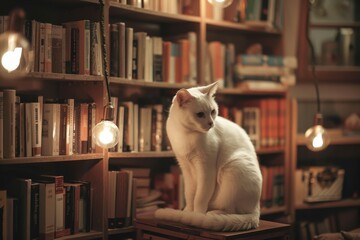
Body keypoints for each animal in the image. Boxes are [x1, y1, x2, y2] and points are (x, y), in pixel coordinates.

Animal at [154, 81, 262, 232]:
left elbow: (200, 196)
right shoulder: (185, 168)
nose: (211, 123)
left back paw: (210, 214)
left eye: (212, 111)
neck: (185, 134)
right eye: (200, 114)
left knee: (232, 211)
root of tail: (257, 211)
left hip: (234, 167)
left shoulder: (206, 169)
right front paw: (188, 211)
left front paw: (196, 215)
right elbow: (190, 194)